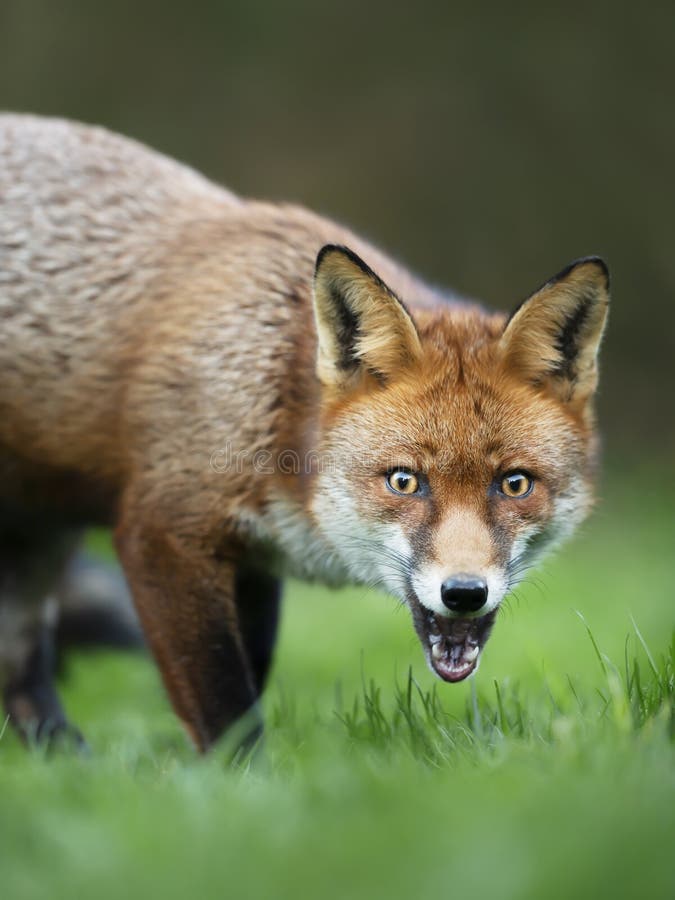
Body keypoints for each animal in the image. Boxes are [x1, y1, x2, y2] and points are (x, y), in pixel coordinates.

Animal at [0, 116, 608, 752]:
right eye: (404, 481)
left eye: (514, 484)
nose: (464, 593)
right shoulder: (164, 533)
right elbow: (226, 710)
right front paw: (236, 777)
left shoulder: (254, 564)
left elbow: (250, 684)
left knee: (20, 679)